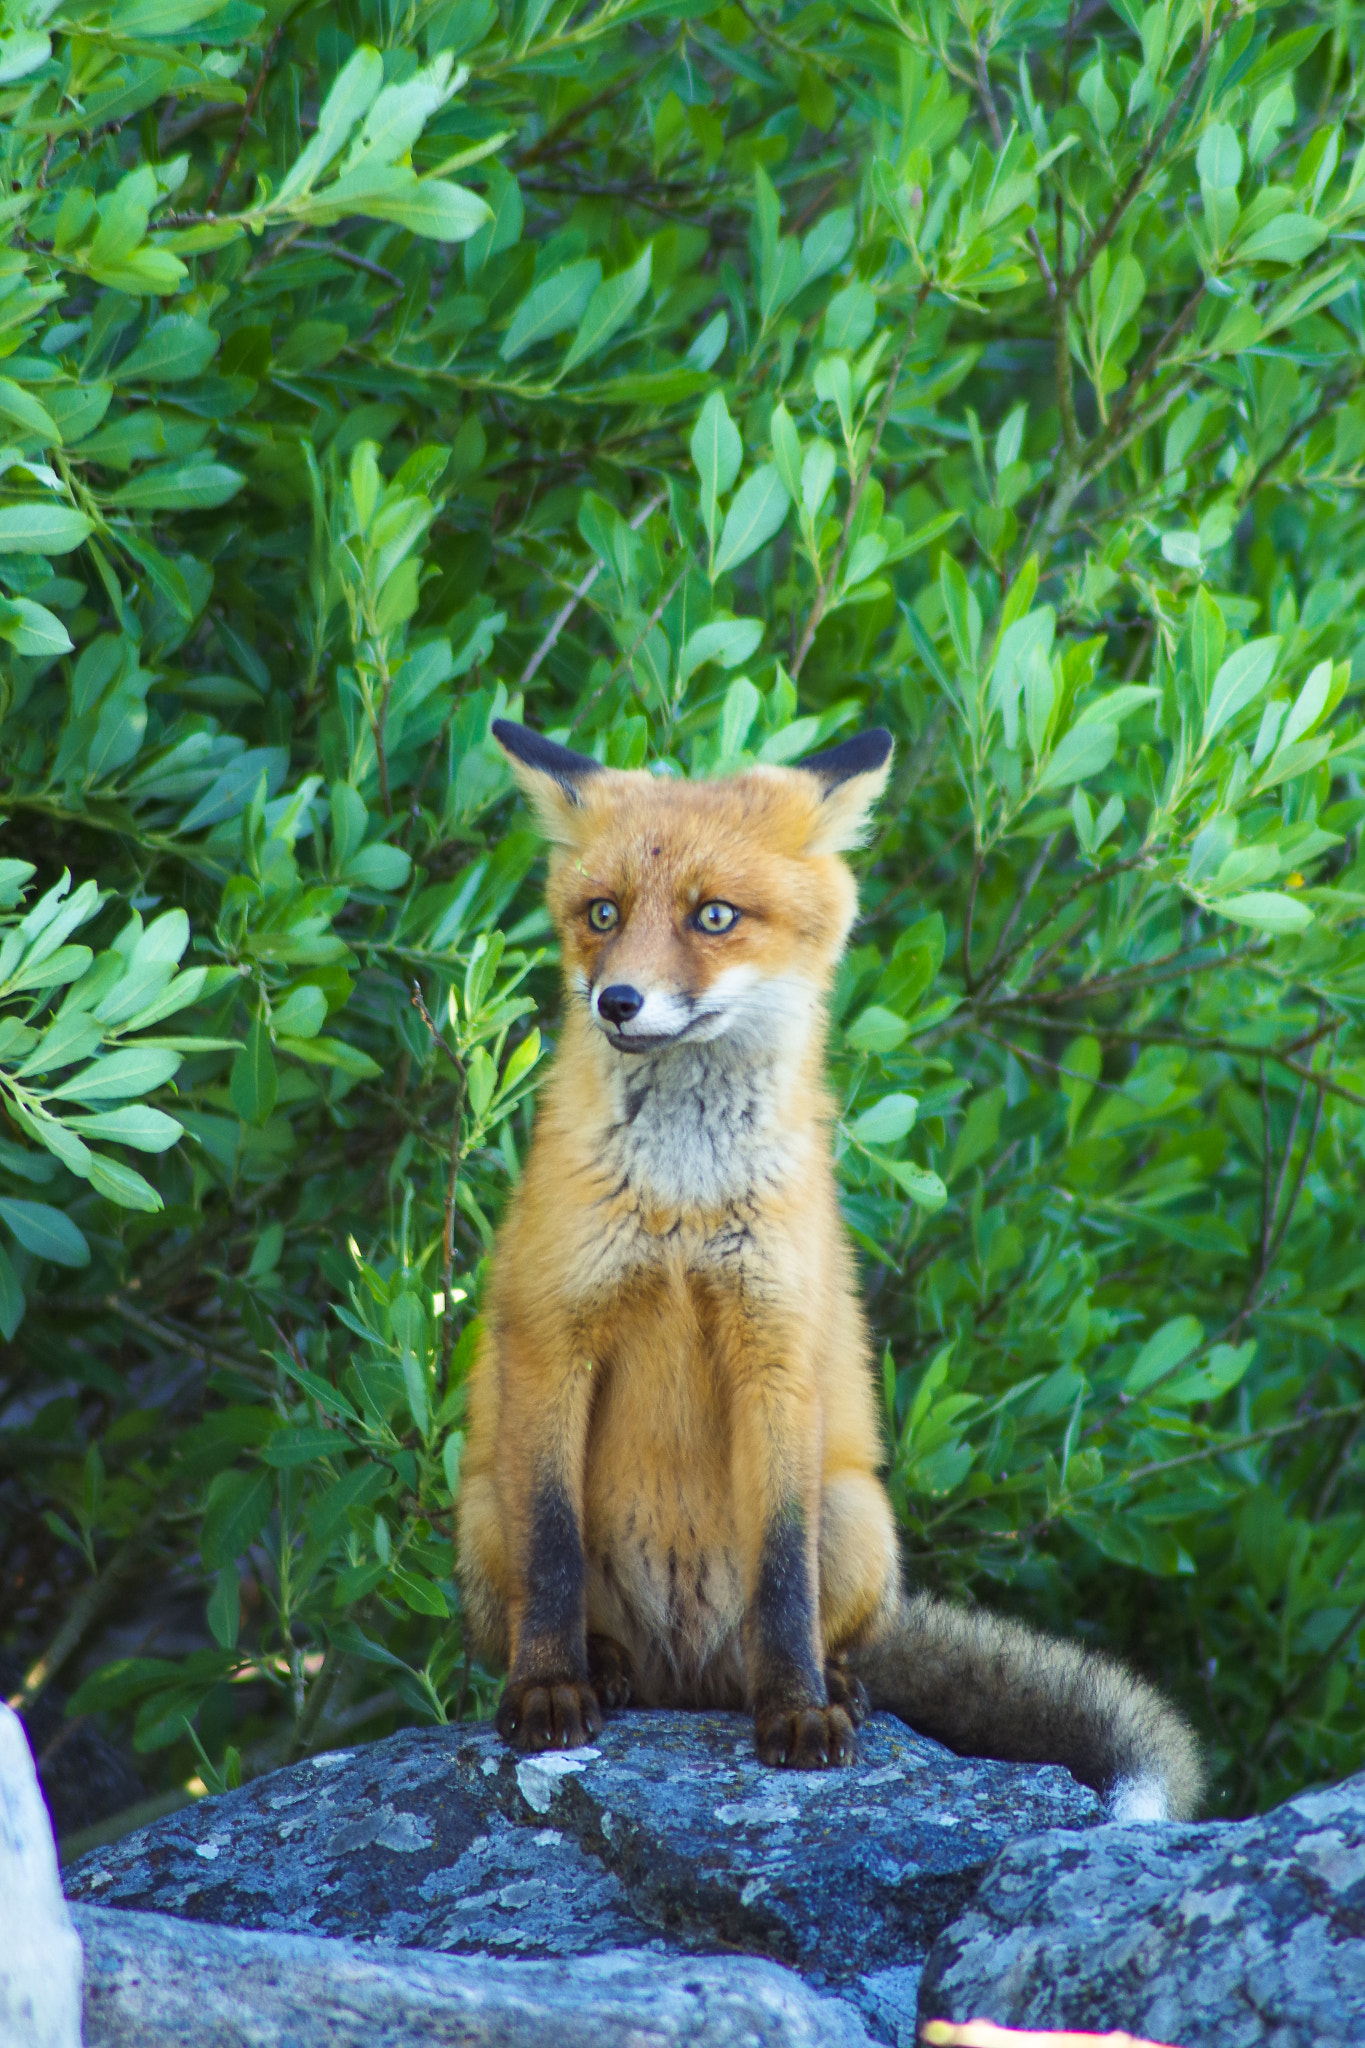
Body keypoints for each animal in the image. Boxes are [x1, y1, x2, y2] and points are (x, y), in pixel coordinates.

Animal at [455, 717, 1203, 1821]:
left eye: (713, 915)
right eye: (602, 914)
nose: (617, 1001)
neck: (683, 1203)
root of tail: (687, 1676)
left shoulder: (778, 1353)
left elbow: (782, 1574)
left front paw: (800, 1713)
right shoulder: (554, 1338)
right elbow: (551, 1552)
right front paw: (549, 1690)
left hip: (858, 1511)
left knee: (815, 1630)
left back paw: (828, 1684)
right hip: (480, 1510)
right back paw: (605, 1666)